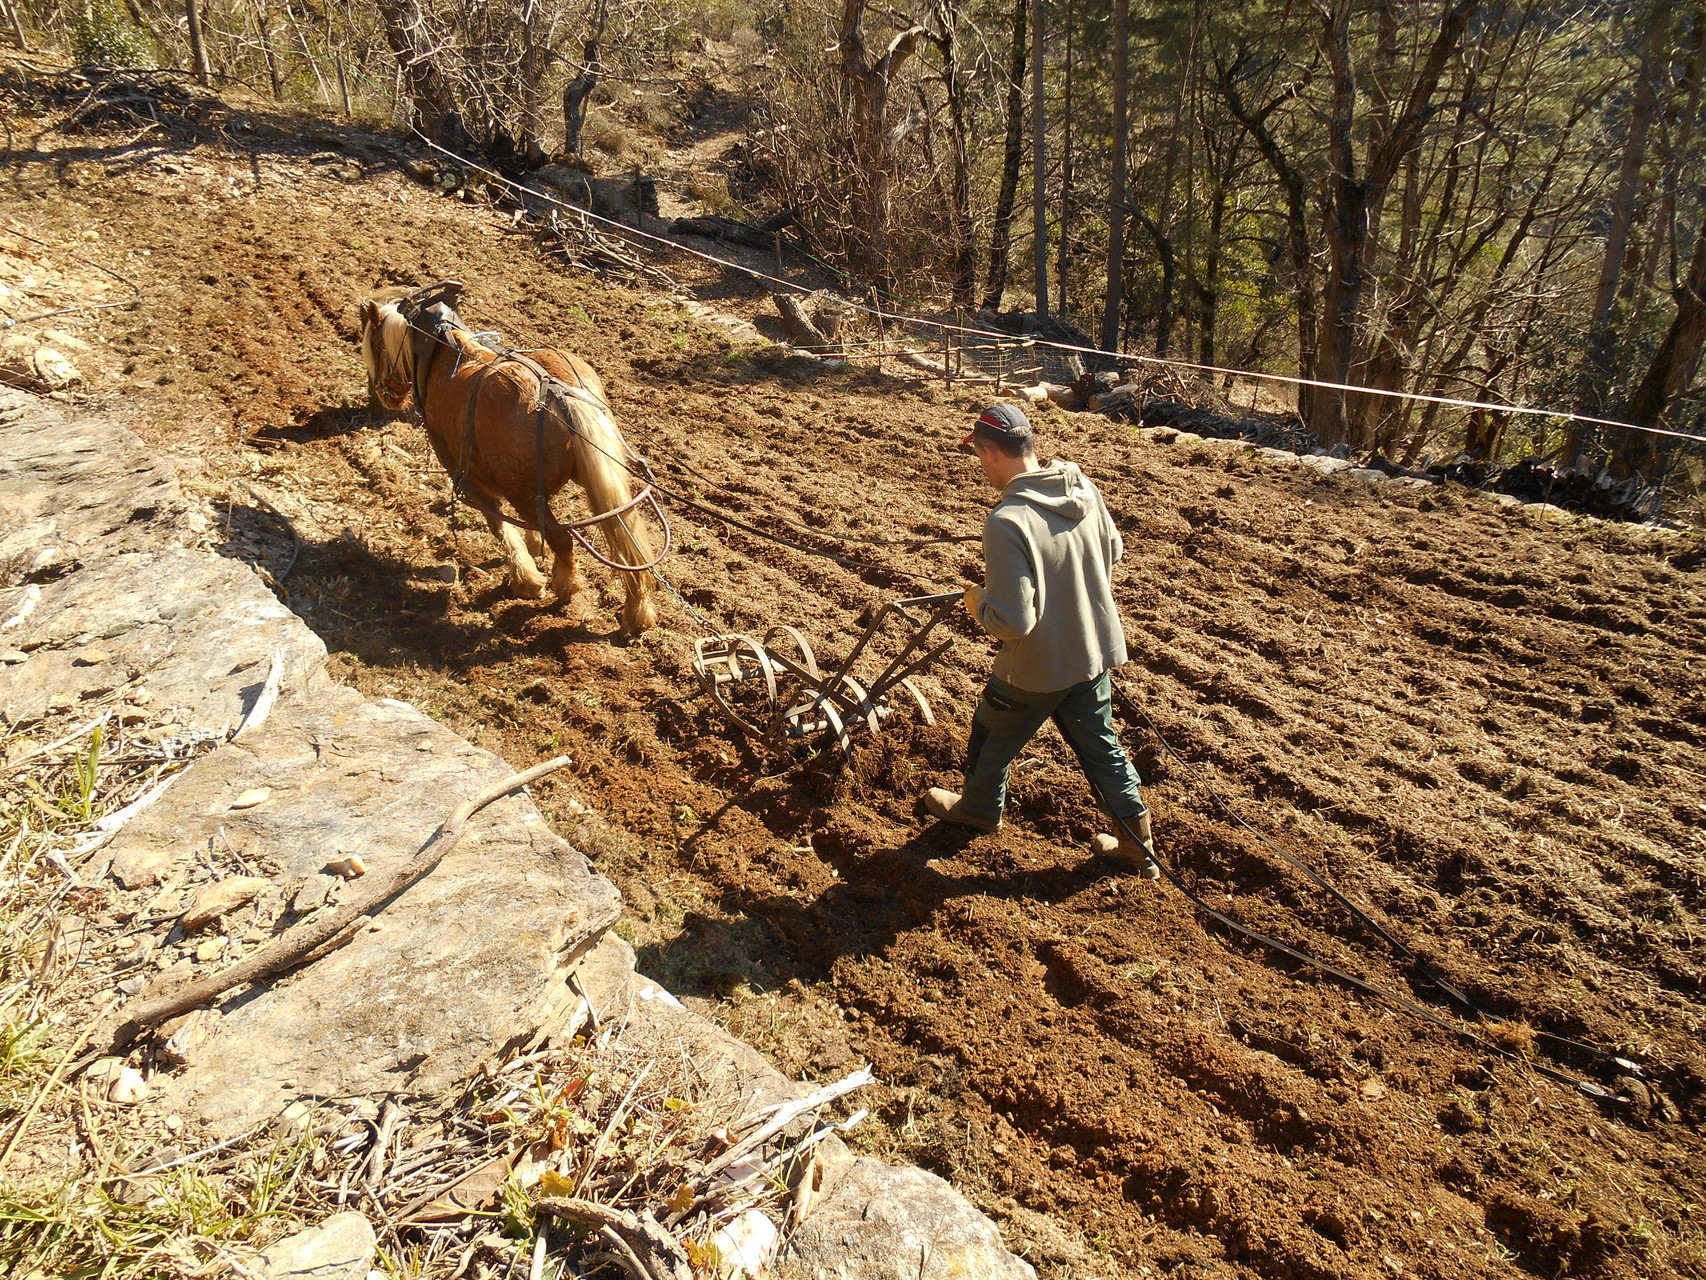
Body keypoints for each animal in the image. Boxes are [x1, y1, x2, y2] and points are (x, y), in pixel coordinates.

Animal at [358, 285, 658, 638]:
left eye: (376, 345)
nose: (385, 395)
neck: (441, 354)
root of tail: (559, 394)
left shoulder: (466, 475)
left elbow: (498, 525)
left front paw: (525, 579)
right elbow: (528, 528)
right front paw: (534, 547)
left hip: (522, 492)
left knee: (564, 539)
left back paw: (566, 585)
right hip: (598, 475)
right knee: (625, 535)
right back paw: (637, 610)